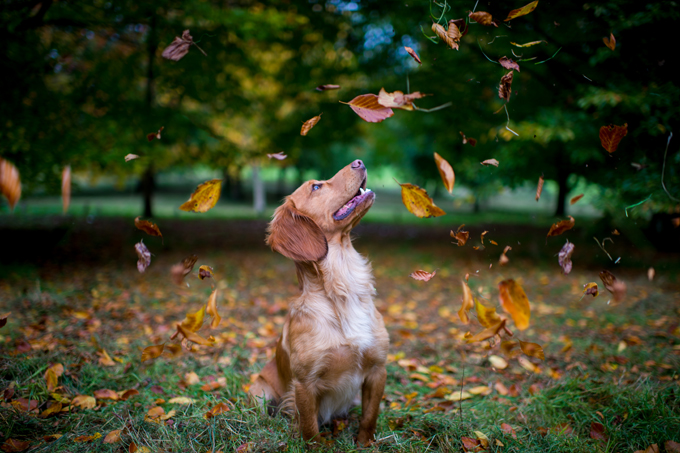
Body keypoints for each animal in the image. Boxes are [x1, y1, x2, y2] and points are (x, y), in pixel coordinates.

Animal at [248, 159, 388, 444]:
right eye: (315, 187)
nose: (359, 161)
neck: (343, 290)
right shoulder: (305, 383)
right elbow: (310, 427)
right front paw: (317, 445)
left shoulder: (378, 370)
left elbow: (370, 417)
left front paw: (365, 443)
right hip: (259, 391)